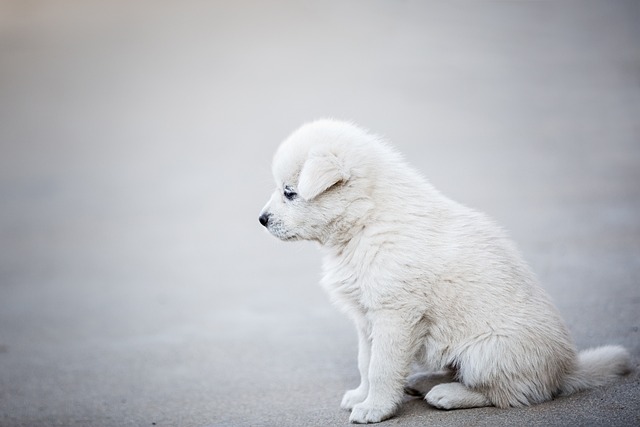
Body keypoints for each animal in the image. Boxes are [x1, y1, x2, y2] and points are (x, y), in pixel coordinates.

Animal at [258, 120, 628, 424]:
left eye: (290, 193)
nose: (261, 219)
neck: (366, 220)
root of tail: (566, 371)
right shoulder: (366, 317)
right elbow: (366, 361)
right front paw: (361, 396)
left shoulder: (394, 314)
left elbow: (381, 367)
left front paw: (375, 408)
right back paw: (424, 381)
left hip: (487, 352)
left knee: (512, 394)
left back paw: (448, 395)